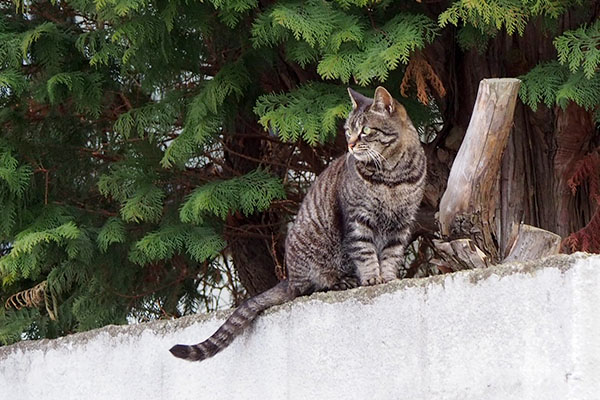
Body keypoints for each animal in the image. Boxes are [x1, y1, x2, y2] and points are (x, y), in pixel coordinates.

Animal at [170, 86, 426, 360]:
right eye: (348, 130)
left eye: (365, 130)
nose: (350, 144)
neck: (392, 175)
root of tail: (289, 277)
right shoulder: (358, 220)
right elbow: (365, 253)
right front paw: (371, 279)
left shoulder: (401, 223)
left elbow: (392, 255)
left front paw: (388, 277)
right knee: (309, 288)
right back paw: (342, 281)